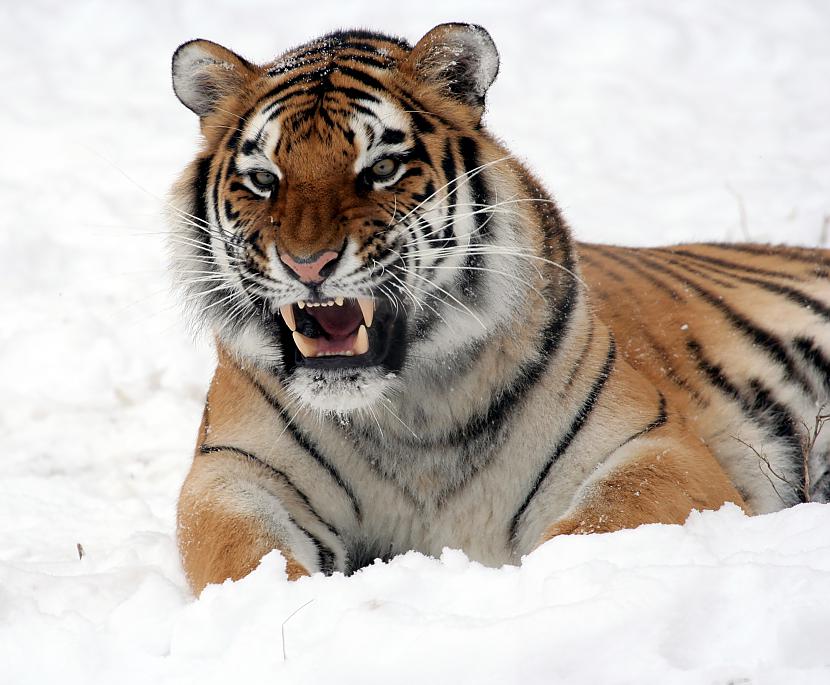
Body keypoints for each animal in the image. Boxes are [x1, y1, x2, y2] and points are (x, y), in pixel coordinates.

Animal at [167, 24, 830, 592]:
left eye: (382, 168)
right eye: (263, 179)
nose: (308, 264)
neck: (409, 412)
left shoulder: (655, 445)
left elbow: (602, 522)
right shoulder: (233, 470)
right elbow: (240, 555)